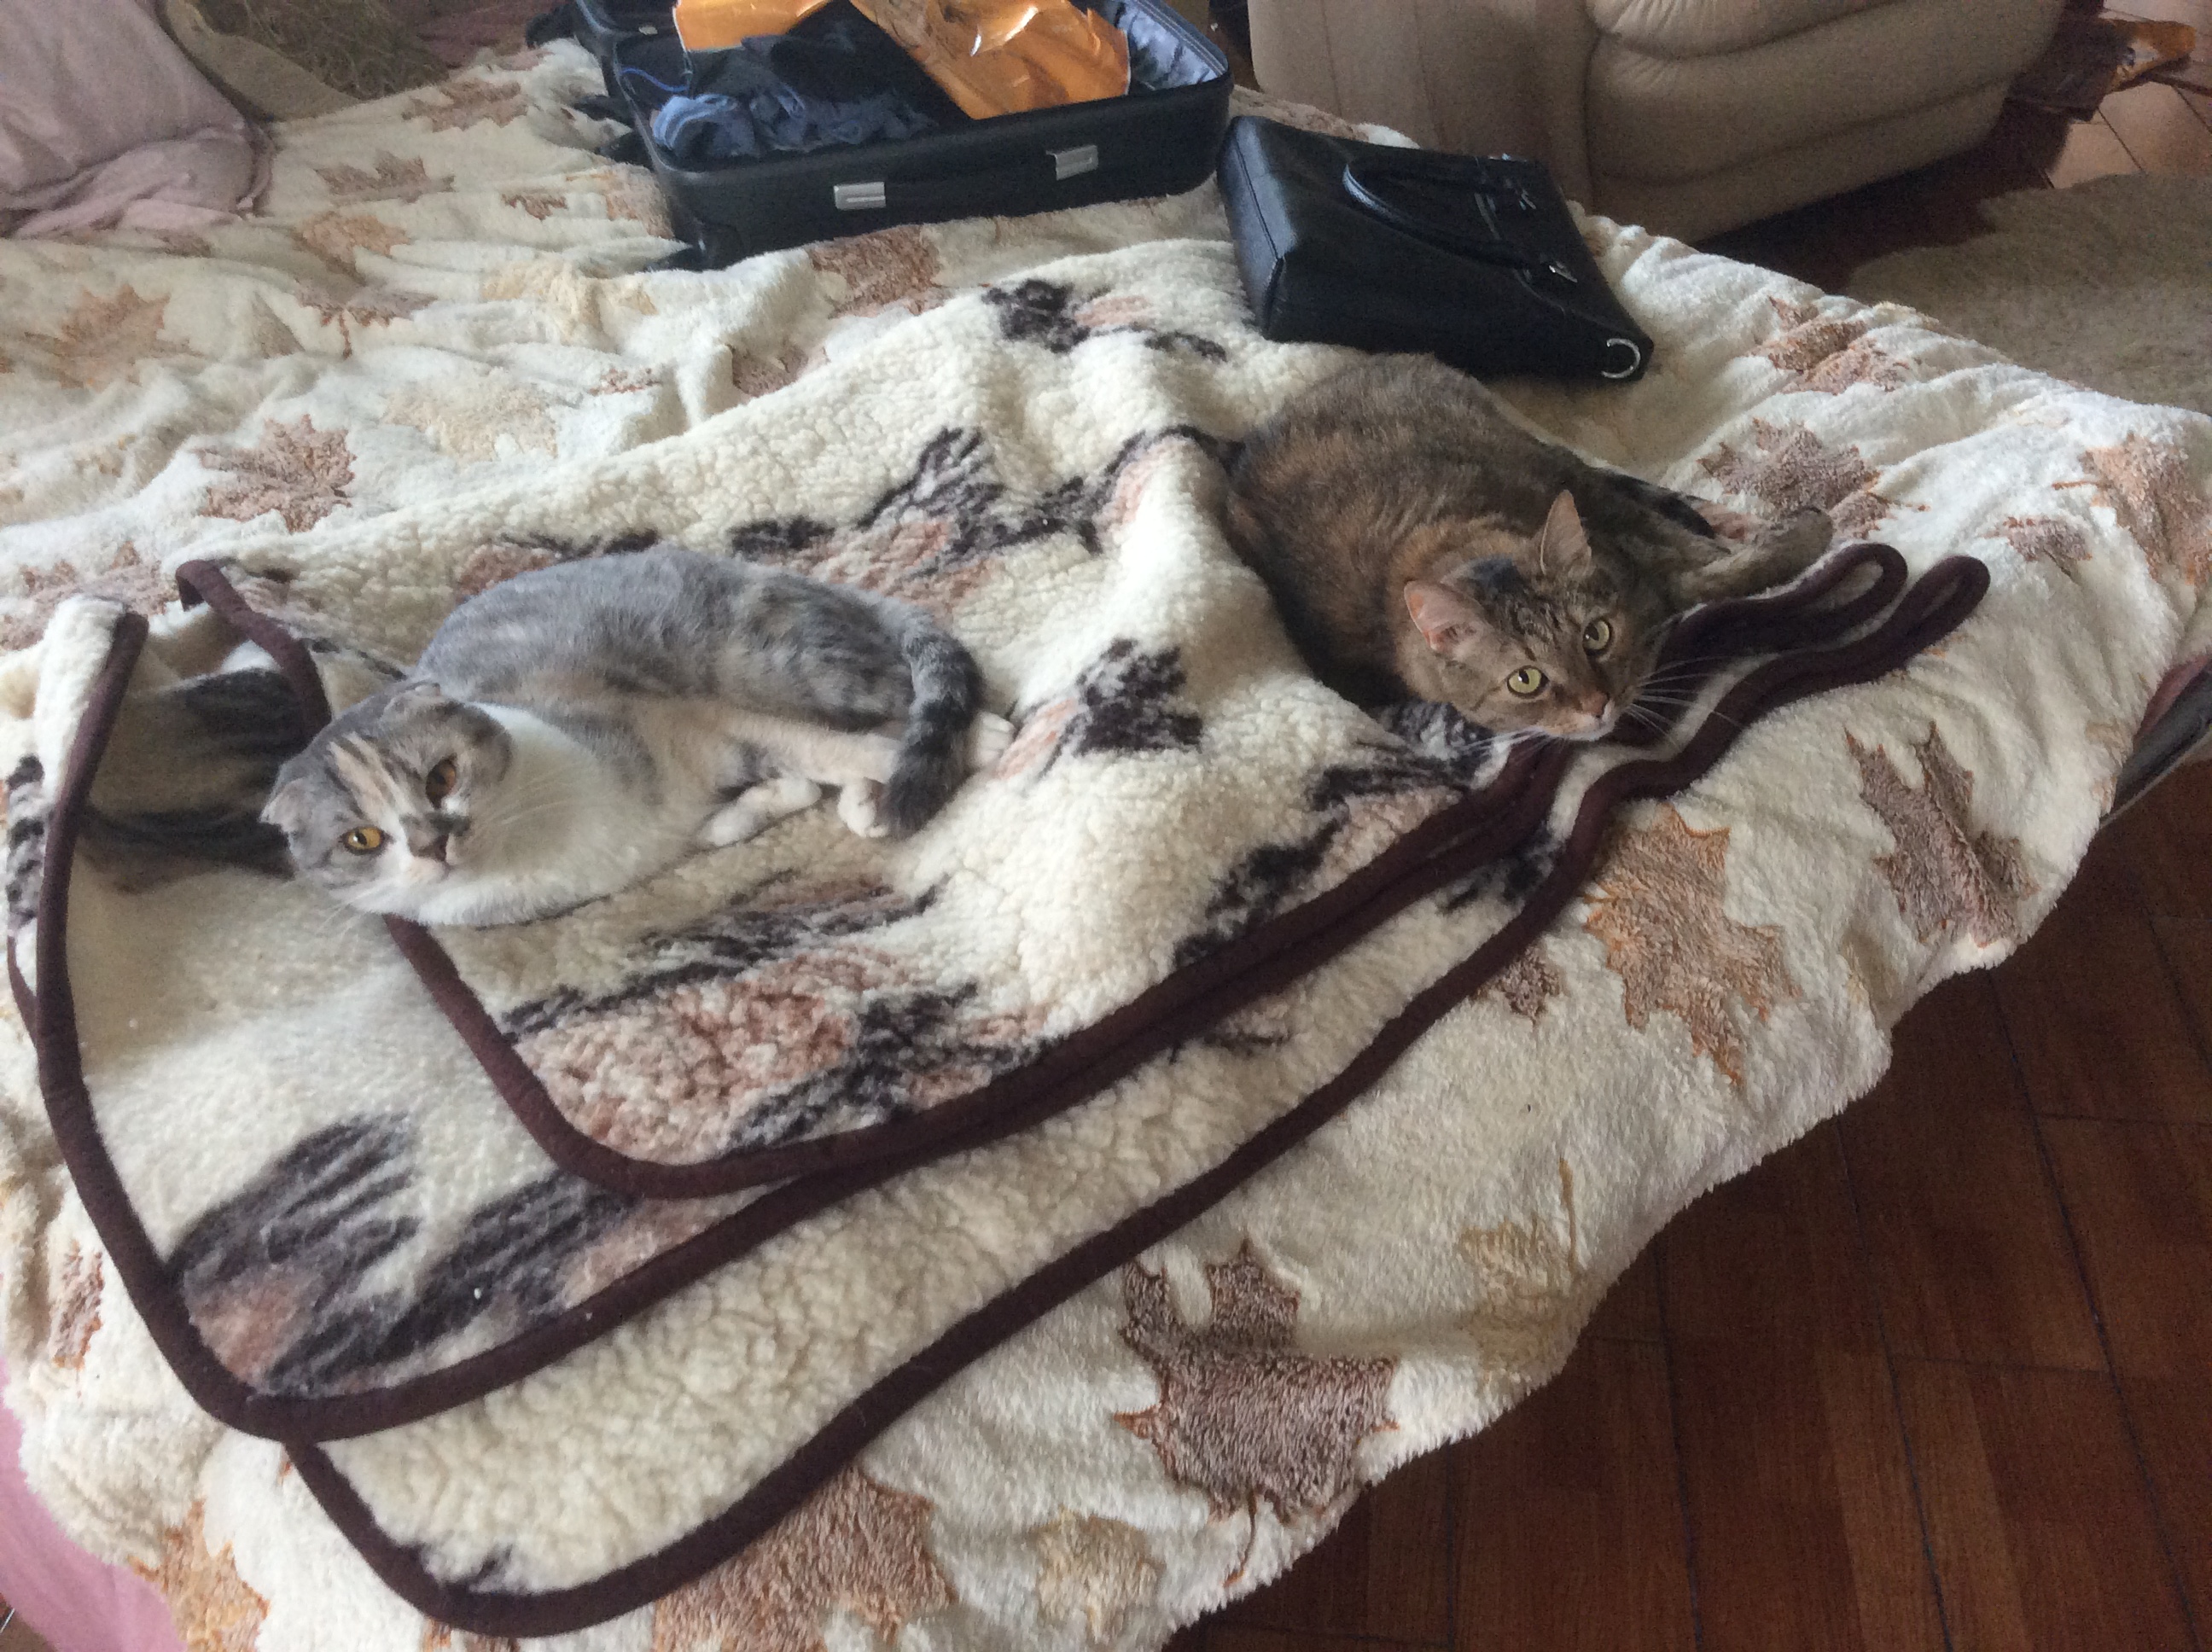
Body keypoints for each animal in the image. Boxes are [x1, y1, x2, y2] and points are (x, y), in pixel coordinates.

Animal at [263, 547, 1012, 926]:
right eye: (362, 840)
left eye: (440, 776)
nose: (431, 844)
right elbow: (774, 793)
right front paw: (753, 809)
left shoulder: (694, 718)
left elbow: (825, 749)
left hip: (778, 663)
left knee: (900, 694)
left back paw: (976, 740)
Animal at [1224, 354, 1834, 741]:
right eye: (1525, 680)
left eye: (1594, 637)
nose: (1597, 705)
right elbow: (1705, 577)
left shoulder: (1586, 493)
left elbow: (1691, 555)